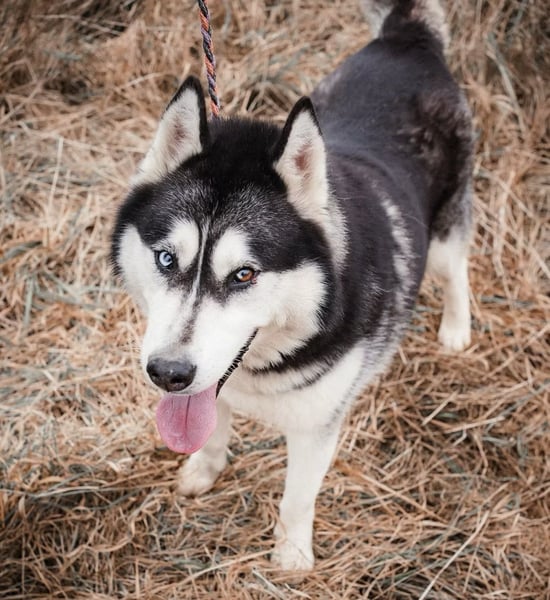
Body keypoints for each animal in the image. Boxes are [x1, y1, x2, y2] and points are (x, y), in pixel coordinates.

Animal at [111, 0, 473, 571]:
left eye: (245, 274)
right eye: (167, 259)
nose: (168, 374)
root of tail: (405, 39)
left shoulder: (315, 428)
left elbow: (298, 497)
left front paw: (291, 555)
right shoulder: (212, 388)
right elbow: (211, 433)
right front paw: (202, 471)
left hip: (442, 232)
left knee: (457, 265)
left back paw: (457, 328)